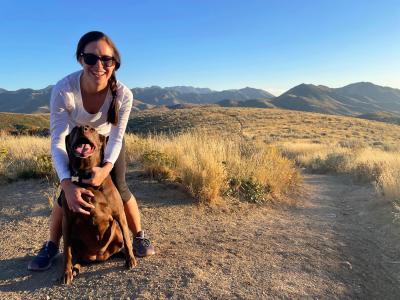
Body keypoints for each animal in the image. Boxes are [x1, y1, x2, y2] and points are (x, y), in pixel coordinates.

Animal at [61, 125, 137, 284]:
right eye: (74, 129)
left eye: (92, 129)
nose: (82, 129)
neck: (86, 176)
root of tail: (99, 257)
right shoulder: (67, 220)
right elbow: (66, 251)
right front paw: (66, 272)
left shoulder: (119, 214)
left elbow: (127, 239)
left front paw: (130, 259)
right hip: (75, 239)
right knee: (78, 257)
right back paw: (75, 268)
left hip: (116, 235)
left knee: (121, 245)